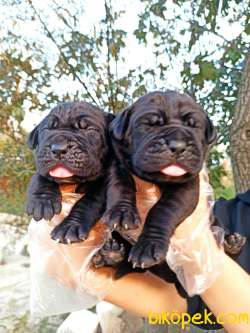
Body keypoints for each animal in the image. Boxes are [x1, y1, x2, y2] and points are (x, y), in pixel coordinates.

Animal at [26, 100, 113, 243]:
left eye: (89, 129)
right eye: (47, 129)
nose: (58, 148)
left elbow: (90, 201)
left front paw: (70, 226)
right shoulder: (42, 165)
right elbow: (39, 177)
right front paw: (43, 201)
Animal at [100, 90, 216, 268]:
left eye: (193, 125)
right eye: (151, 124)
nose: (178, 145)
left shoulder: (186, 185)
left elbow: (163, 209)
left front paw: (149, 245)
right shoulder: (117, 162)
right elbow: (120, 184)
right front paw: (122, 212)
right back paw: (109, 254)